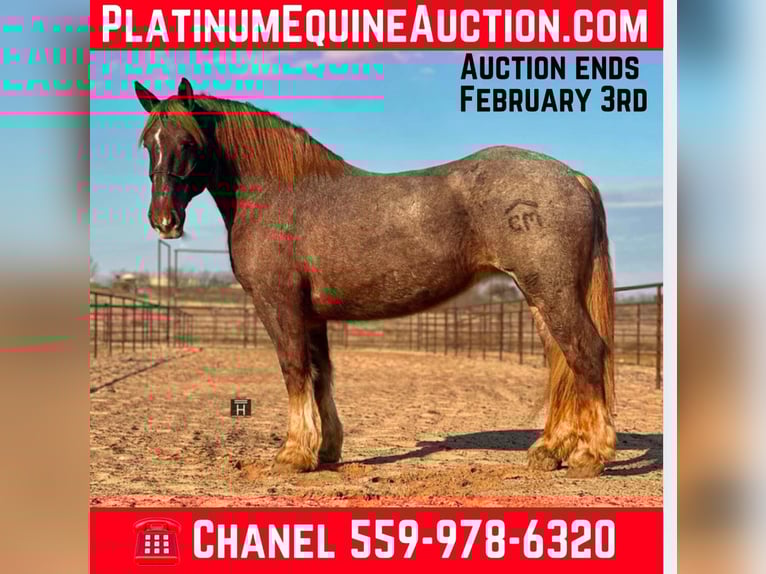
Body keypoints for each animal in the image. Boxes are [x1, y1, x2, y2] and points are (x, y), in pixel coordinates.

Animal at [134, 77, 616, 478]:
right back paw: (549, 450)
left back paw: (589, 456)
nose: (163, 220)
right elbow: (321, 374)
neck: (279, 194)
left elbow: (294, 370)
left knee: (586, 353)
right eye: (147, 144)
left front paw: (292, 454)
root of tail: (573, 177)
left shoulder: (280, 304)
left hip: (551, 291)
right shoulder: (313, 314)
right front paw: (325, 450)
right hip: (540, 295)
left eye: (188, 141)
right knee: (562, 362)